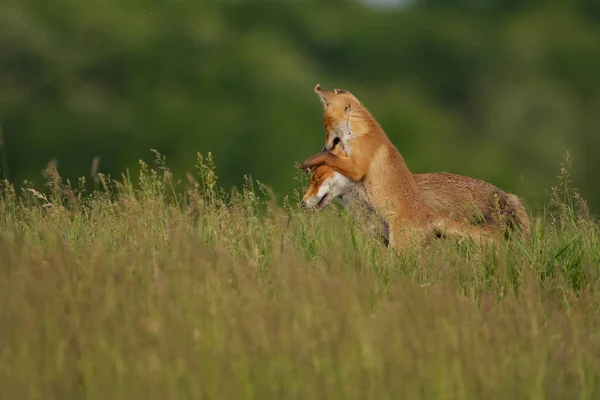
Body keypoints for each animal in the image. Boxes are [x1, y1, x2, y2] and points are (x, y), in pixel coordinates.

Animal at [300, 85, 516, 253]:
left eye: (325, 125)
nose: (301, 204)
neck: (363, 133)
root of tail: (429, 216)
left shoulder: (356, 166)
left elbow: (334, 159)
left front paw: (310, 160)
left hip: (399, 249)